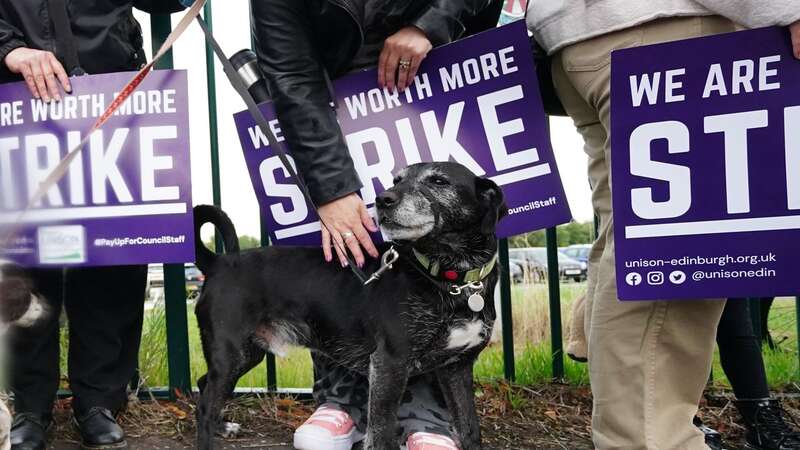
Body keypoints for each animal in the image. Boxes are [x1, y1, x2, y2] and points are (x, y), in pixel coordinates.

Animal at [194, 163, 506, 450]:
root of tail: (218, 262)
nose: (383, 199)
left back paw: (223, 426)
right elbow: (381, 434)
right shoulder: (389, 364)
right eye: (397, 180)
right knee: (205, 407)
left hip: (247, 354)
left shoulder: (457, 369)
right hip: (231, 353)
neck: (450, 278)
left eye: (439, 181)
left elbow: (470, 430)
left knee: (202, 384)